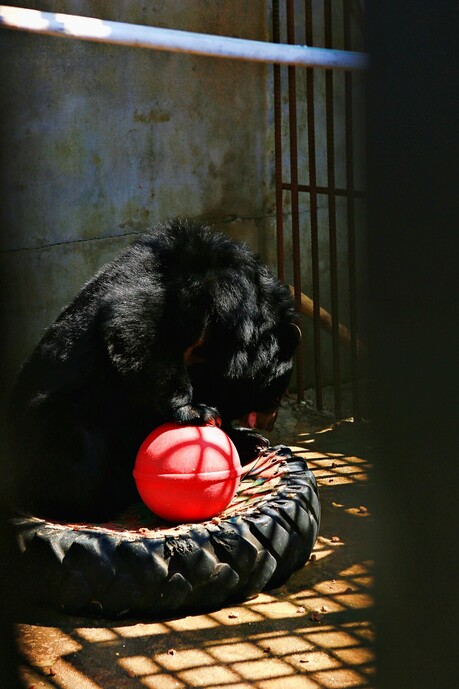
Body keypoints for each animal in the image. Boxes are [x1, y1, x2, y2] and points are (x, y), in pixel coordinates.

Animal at [8, 220, 300, 522]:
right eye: (276, 392)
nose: (270, 422)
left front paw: (250, 440)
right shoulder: (183, 296)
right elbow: (137, 328)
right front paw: (196, 412)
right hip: (56, 425)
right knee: (84, 451)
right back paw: (104, 500)